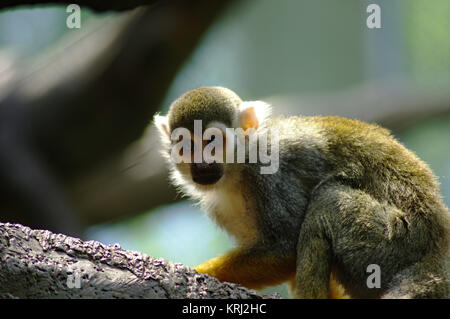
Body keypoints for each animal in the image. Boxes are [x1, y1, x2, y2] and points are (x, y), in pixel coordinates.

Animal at [154, 86, 446, 298]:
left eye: (212, 141)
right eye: (187, 145)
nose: (202, 164)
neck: (238, 168)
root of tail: (437, 245)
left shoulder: (270, 175)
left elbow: (284, 250)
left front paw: (193, 271)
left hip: (395, 239)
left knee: (327, 197)